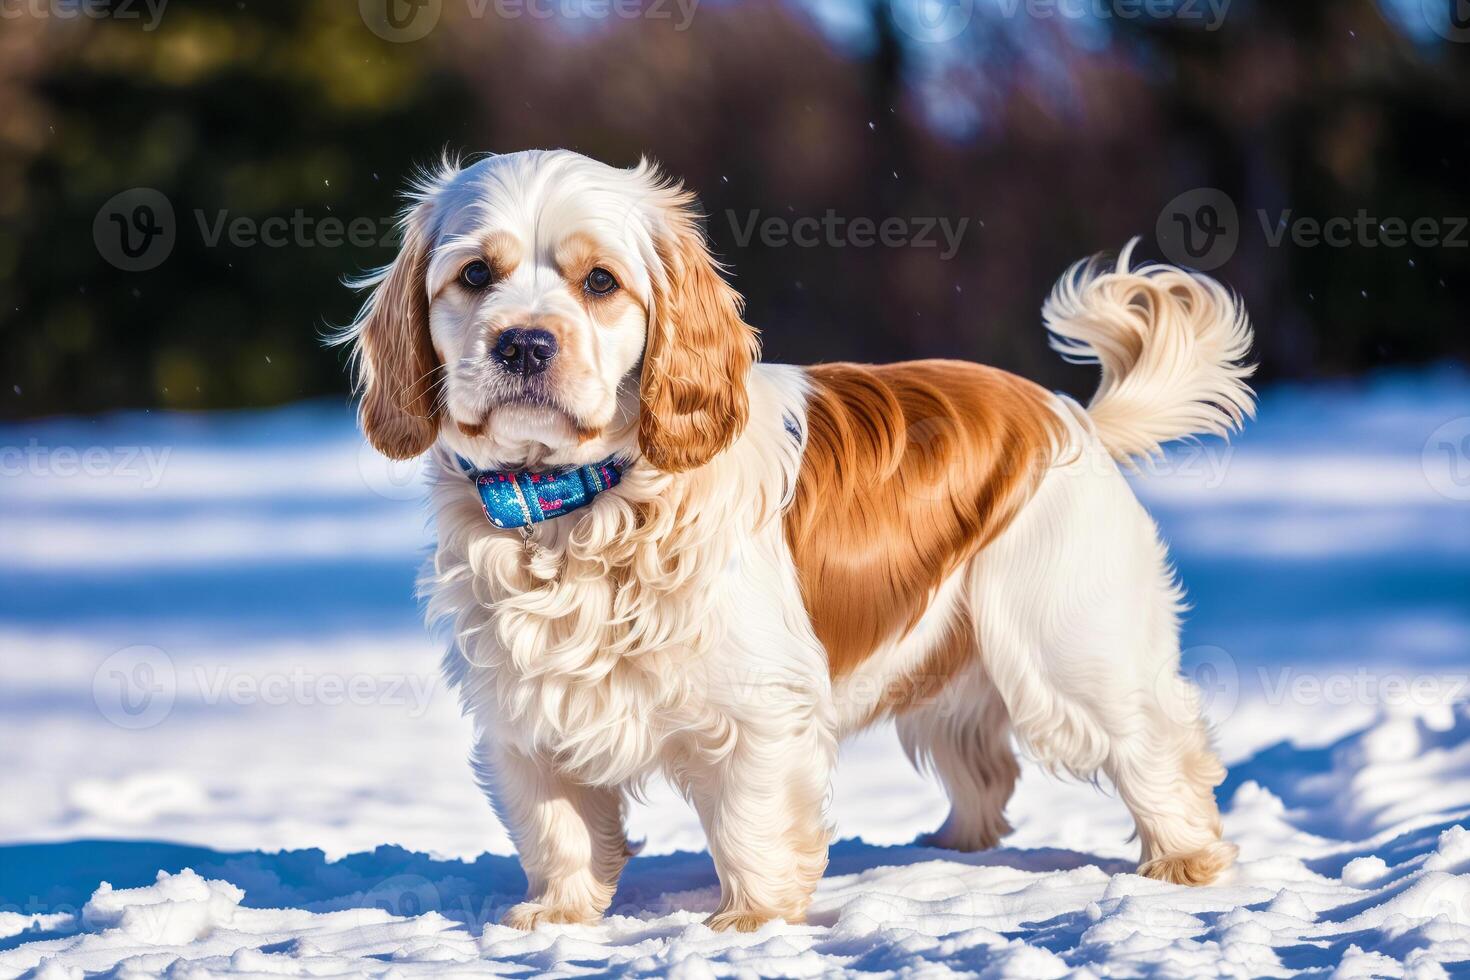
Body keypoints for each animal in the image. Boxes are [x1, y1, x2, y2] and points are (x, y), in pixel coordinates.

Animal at [341, 149, 1252, 934]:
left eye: (600, 281)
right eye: (475, 275)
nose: (524, 342)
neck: (583, 506)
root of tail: (1072, 416)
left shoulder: (760, 709)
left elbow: (753, 823)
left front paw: (751, 923)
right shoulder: (525, 715)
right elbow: (556, 828)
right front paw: (558, 916)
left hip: (1070, 655)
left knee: (1162, 749)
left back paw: (1186, 862)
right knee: (987, 768)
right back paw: (951, 851)